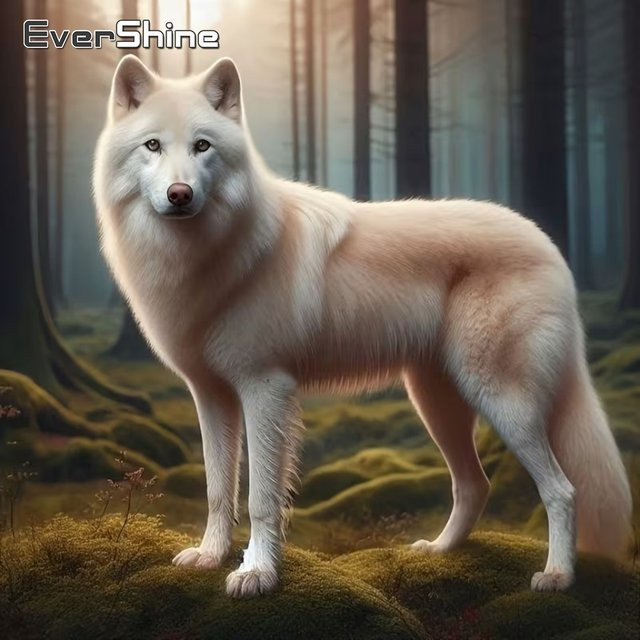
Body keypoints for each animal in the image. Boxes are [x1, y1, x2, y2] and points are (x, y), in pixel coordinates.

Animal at [93, 55, 632, 598]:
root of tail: (551, 246)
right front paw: (209, 556)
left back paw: (558, 575)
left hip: (503, 402)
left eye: (202, 145)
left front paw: (256, 573)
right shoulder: (211, 396)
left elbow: (262, 498)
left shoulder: (265, 389)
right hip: (437, 403)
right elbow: (217, 489)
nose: (179, 194)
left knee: (563, 490)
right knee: (474, 484)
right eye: (153, 146)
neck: (206, 256)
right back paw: (440, 552)